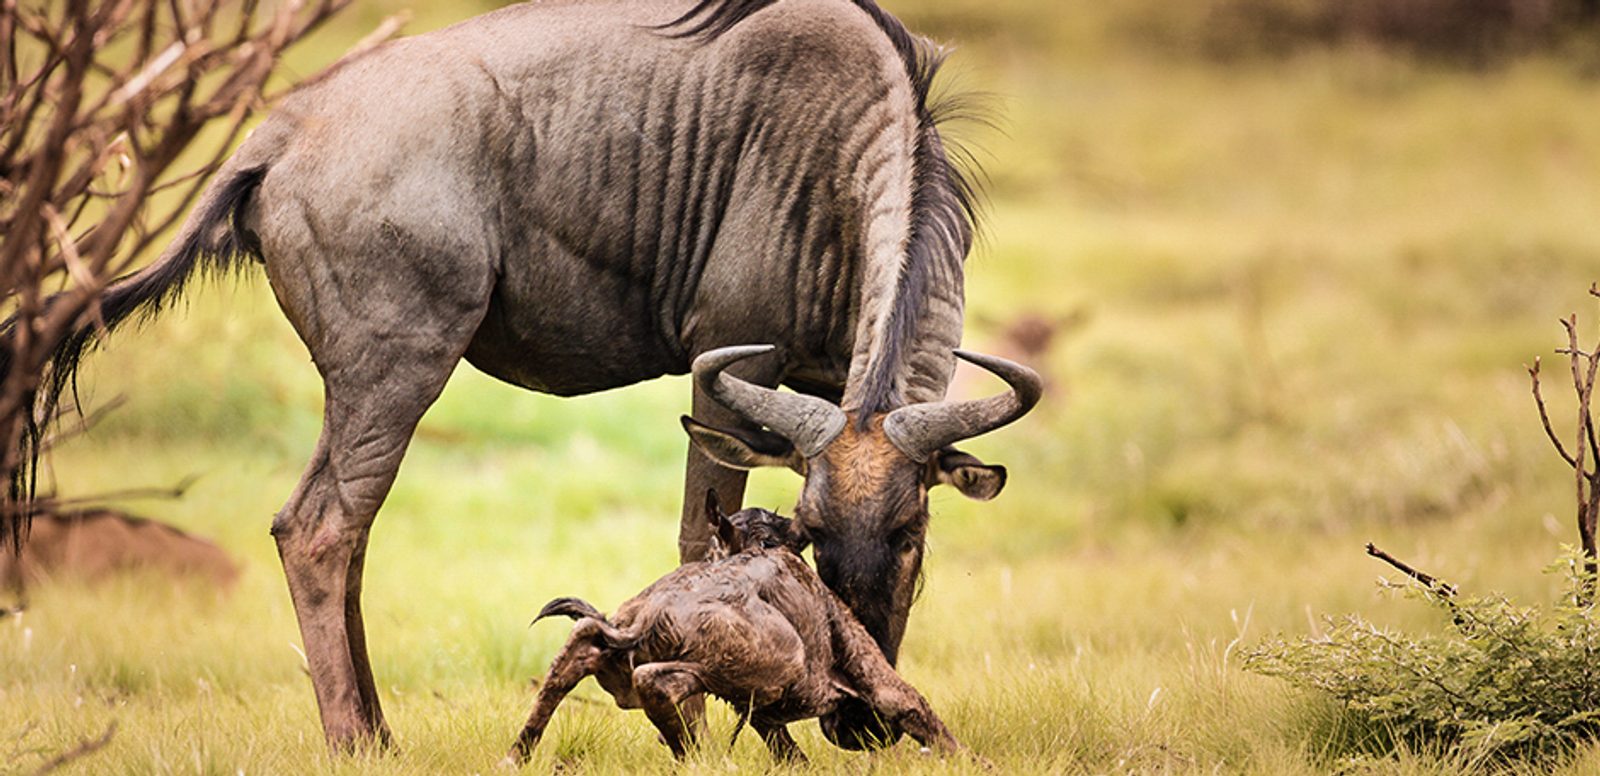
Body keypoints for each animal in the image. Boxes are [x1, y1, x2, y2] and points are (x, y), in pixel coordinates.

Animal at [0, 0, 1040, 749]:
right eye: (815, 534)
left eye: (910, 532)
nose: (859, 730)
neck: (844, 149)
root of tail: (276, 138)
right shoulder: (728, 363)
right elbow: (698, 541)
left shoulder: (812, 393)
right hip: (398, 368)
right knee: (321, 528)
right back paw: (355, 741)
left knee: (342, 530)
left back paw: (381, 729)